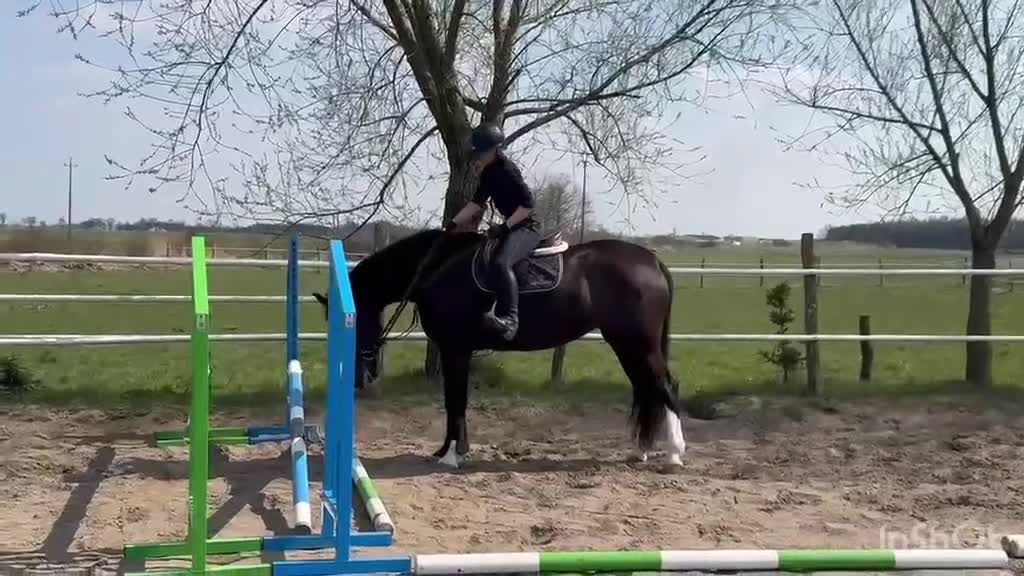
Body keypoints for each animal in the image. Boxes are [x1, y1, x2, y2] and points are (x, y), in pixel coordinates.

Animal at [312, 227, 688, 469]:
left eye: (352, 319)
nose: (360, 378)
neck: (437, 269)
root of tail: (651, 261)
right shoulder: (452, 350)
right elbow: (451, 402)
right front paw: (444, 450)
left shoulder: (456, 350)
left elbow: (457, 401)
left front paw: (454, 455)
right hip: (625, 344)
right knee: (647, 388)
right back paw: (640, 451)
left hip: (638, 343)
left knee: (665, 386)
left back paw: (674, 454)